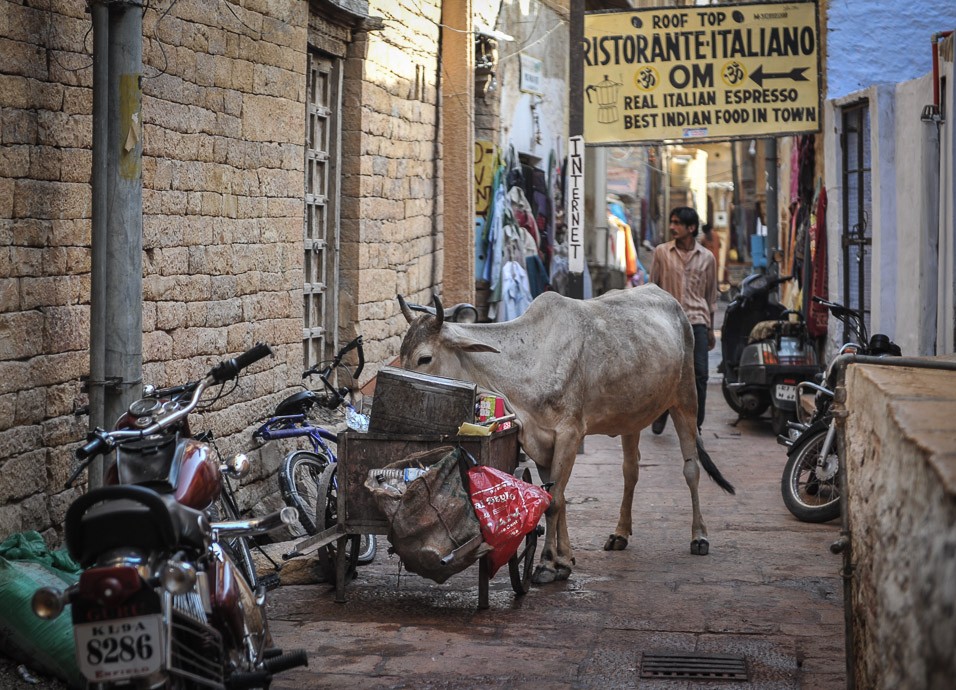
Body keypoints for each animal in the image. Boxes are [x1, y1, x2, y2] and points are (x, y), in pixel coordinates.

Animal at [400, 284, 736, 580]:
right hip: (632, 417)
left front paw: (548, 564)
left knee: (691, 469)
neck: (527, 362)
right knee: (631, 471)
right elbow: (556, 497)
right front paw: (564, 560)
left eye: (424, 358)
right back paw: (620, 533)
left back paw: (699, 536)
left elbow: (555, 501)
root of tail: (672, 301)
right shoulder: (540, 442)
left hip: (685, 399)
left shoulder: (570, 434)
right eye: (402, 353)